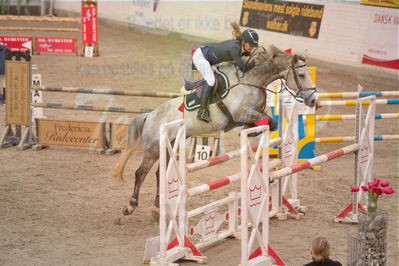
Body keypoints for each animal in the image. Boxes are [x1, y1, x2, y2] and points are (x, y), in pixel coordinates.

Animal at [112, 45, 318, 216]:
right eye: (301, 75)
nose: (314, 100)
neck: (252, 81)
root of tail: (150, 116)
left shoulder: (250, 114)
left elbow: (271, 122)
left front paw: (252, 131)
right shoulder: (242, 113)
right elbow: (267, 121)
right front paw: (250, 131)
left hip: (171, 146)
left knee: (159, 174)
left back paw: (156, 208)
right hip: (154, 148)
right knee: (141, 172)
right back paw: (130, 206)